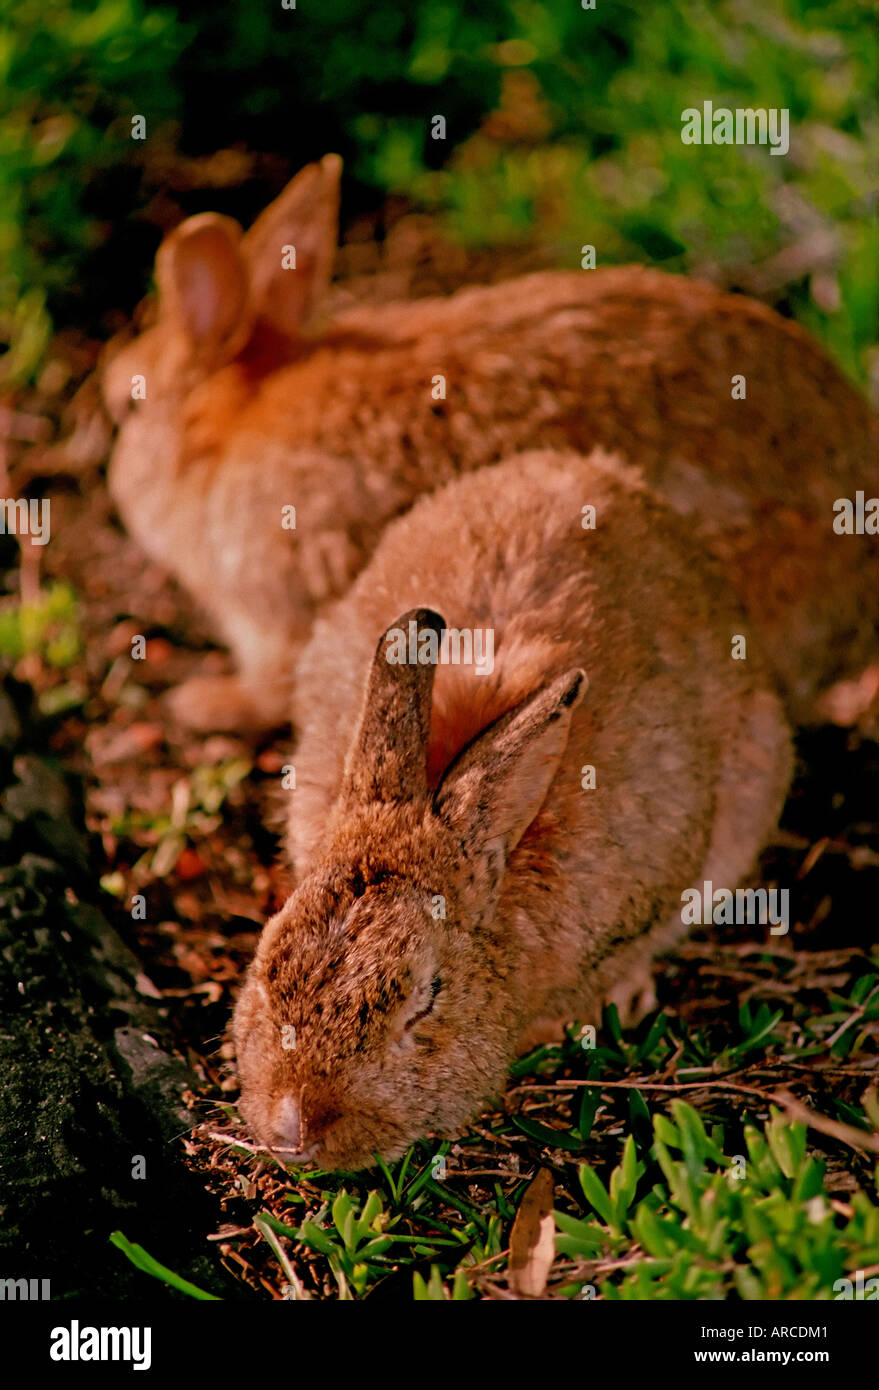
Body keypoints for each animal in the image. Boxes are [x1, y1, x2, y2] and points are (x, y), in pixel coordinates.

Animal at [102, 155, 879, 734]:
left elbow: (270, 688)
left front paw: (204, 705)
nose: (111, 479)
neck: (224, 431)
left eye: (127, 405)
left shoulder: (278, 609)